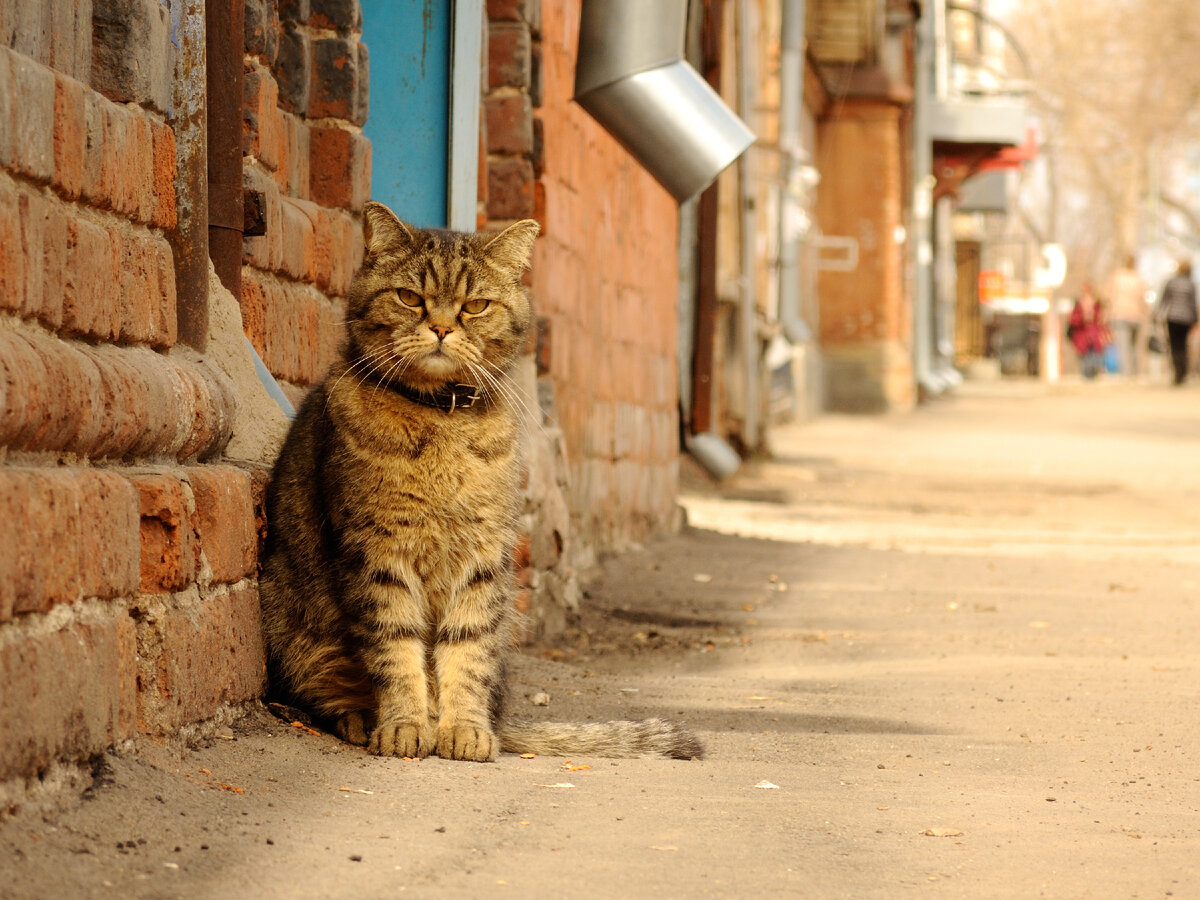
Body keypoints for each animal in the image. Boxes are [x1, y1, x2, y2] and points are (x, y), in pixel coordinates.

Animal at [258, 202, 700, 763]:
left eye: (475, 306)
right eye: (410, 297)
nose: (442, 329)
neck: (442, 423)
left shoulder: (484, 555)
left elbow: (467, 652)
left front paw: (463, 729)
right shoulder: (376, 549)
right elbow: (397, 647)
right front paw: (406, 725)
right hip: (288, 618)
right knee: (327, 691)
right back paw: (359, 719)